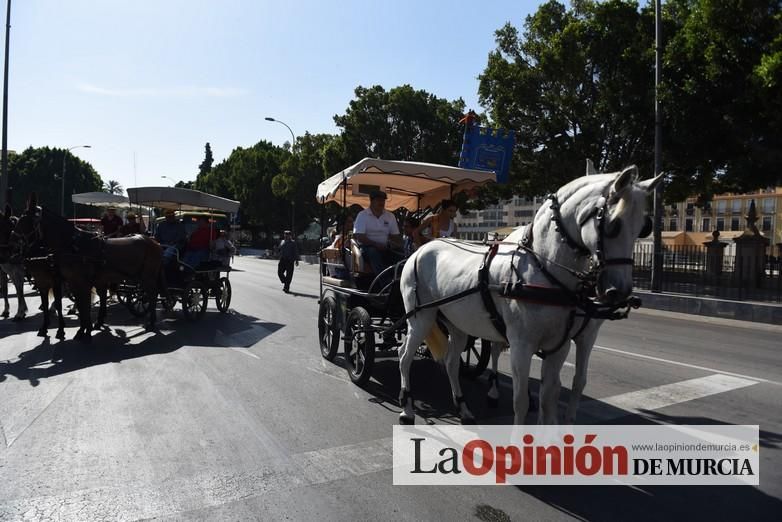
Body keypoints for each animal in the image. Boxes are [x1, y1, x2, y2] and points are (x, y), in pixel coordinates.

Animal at [13, 197, 163, 340]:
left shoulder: (77, 283)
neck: (73, 246)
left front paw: (83, 331)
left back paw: (151, 321)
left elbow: (83, 305)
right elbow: (80, 305)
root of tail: (153, 241)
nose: (14, 244)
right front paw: (83, 329)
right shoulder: (71, 283)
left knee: (152, 294)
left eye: (26, 221)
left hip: (148, 277)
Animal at [398, 166, 660, 422]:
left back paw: (463, 408)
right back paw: (407, 407)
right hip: (421, 317)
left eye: (643, 227)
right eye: (613, 225)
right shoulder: (521, 345)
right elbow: (521, 401)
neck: (544, 269)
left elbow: (551, 396)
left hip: (458, 323)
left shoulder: (562, 345)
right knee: (404, 356)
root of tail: (421, 250)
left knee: (451, 363)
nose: (620, 291)